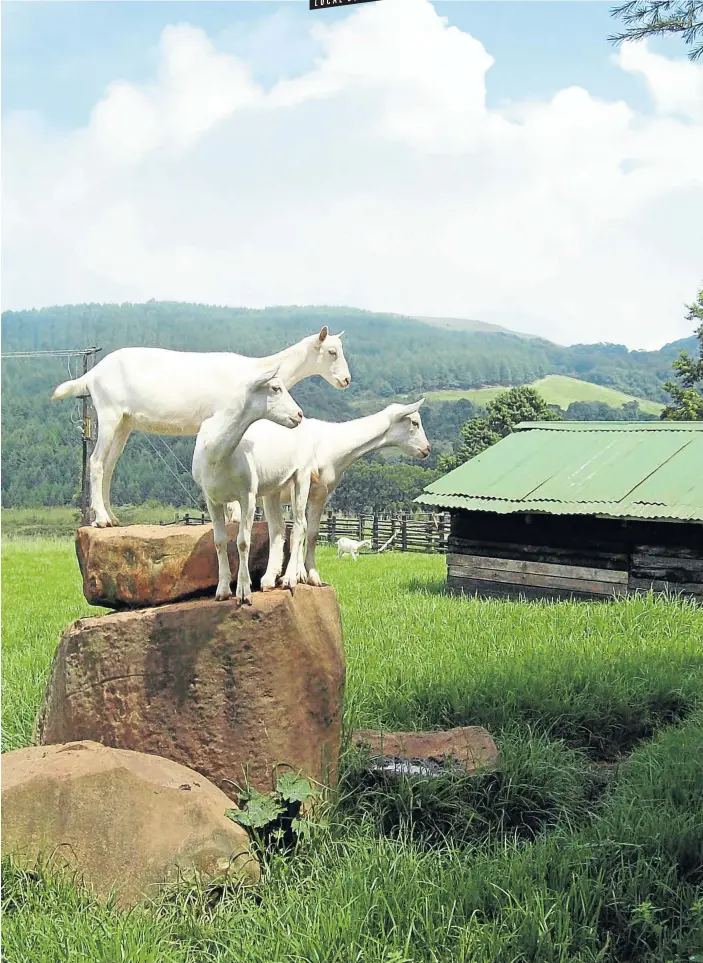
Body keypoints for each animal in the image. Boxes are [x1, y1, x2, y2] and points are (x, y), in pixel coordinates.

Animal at [51, 330, 352, 528]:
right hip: (109, 413)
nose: (346, 380)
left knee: (109, 466)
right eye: (331, 352)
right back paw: (101, 519)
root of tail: (93, 374)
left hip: (124, 422)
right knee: (96, 462)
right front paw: (234, 513)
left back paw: (112, 518)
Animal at [191, 368, 304, 604]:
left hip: (303, 474)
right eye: (275, 388)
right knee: (278, 527)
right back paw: (269, 580)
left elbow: (243, 541)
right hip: (273, 488)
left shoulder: (248, 495)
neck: (216, 453)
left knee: (300, 525)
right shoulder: (211, 498)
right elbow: (219, 541)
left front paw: (243, 592)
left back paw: (290, 578)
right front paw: (222, 590)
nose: (299, 414)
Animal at [228, 398, 432, 588]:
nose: (428, 449)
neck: (330, 443)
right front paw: (296, 575)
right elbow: (297, 530)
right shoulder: (298, 486)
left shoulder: (322, 494)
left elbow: (312, 533)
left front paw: (312, 575)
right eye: (415, 422)